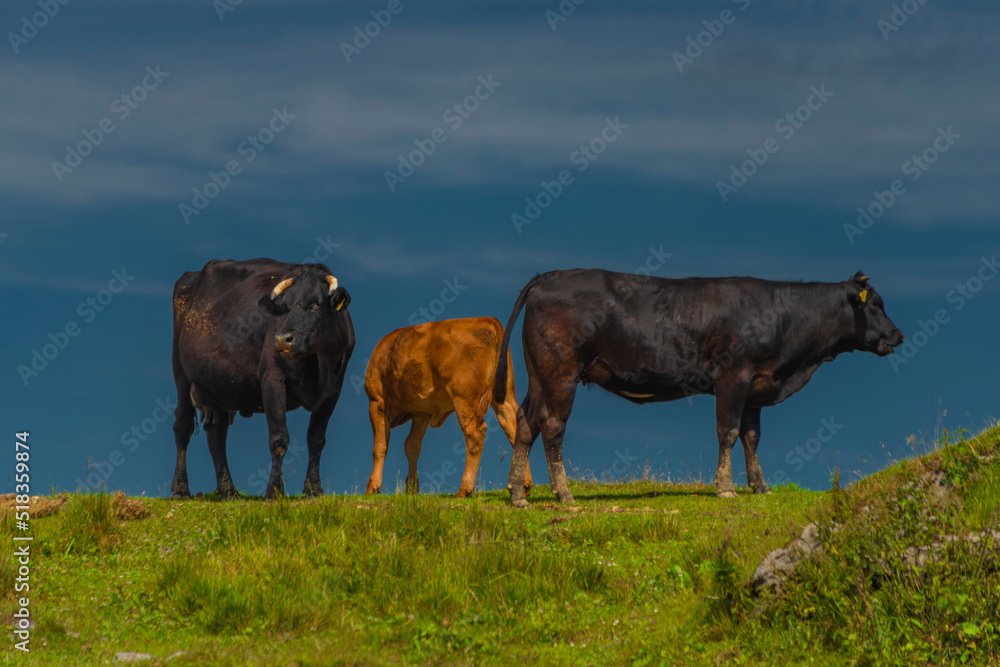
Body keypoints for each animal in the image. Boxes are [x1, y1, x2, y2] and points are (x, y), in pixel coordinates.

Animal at [170, 258, 355, 499]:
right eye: (285, 308)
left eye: (316, 305)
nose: (283, 339)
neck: (317, 362)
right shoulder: (271, 379)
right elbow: (279, 438)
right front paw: (274, 491)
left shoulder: (334, 390)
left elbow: (317, 439)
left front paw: (314, 489)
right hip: (181, 374)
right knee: (182, 426)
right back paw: (181, 489)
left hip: (219, 385)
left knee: (217, 434)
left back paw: (228, 490)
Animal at [364, 317, 532, 497]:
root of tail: (485, 319)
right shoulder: (421, 413)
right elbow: (412, 446)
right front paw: (412, 489)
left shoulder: (377, 402)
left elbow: (380, 446)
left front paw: (372, 488)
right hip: (505, 396)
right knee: (513, 427)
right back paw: (524, 485)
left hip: (464, 398)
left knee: (475, 434)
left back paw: (464, 490)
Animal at [494, 269, 904, 507]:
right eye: (876, 304)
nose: (898, 336)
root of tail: (551, 276)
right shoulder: (733, 376)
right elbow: (728, 432)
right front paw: (725, 488)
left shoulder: (756, 385)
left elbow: (751, 437)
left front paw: (760, 486)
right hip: (561, 372)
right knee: (552, 427)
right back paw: (564, 494)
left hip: (540, 376)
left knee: (526, 422)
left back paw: (517, 495)